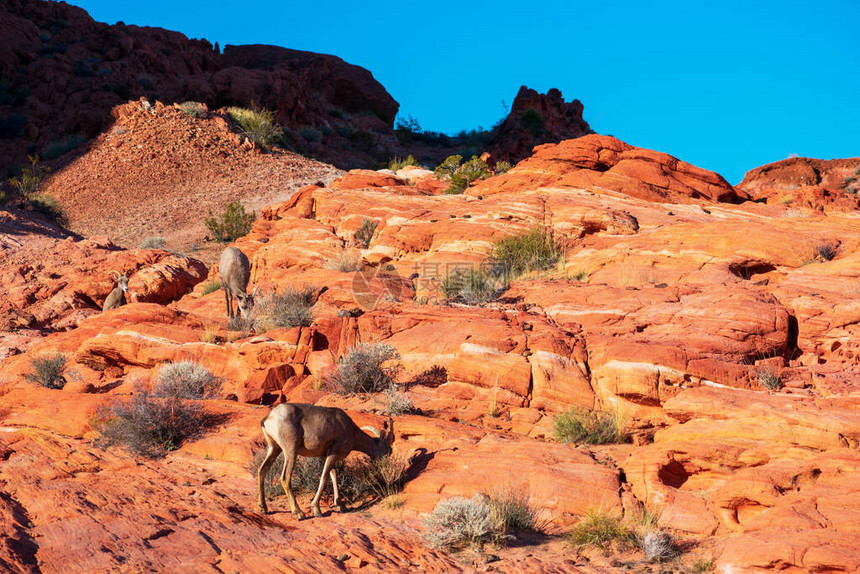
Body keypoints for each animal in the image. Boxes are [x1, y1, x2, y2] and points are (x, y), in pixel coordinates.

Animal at [254, 402, 392, 520]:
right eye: (387, 451)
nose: (385, 469)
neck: (350, 430)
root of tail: (268, 417)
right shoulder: (333, 453)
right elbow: (324, 478)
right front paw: (317, 510)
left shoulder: (326, 456)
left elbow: (333, 476)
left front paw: (340, 505)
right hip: (290, 451)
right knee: (285, 477)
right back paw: (299, 513)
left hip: (274, 448)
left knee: (262, 470)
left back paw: (263, 508)